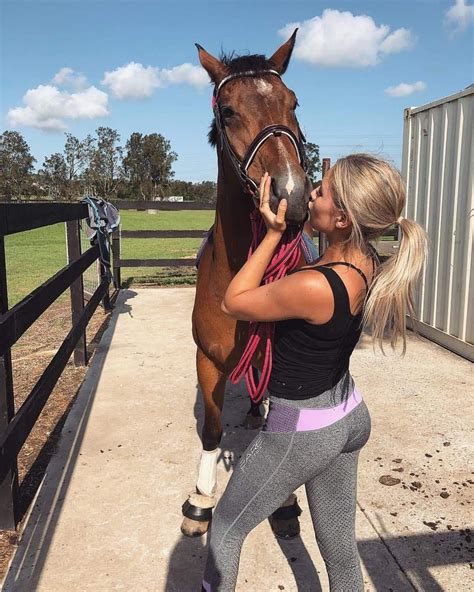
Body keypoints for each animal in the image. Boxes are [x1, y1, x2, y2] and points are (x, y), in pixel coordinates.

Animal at [182, 31, 314, 540]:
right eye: (228, 111)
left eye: (293, 103)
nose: (291, 195)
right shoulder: (207, 360)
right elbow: (212, 430)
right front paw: (202, 498)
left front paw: (284, 502)